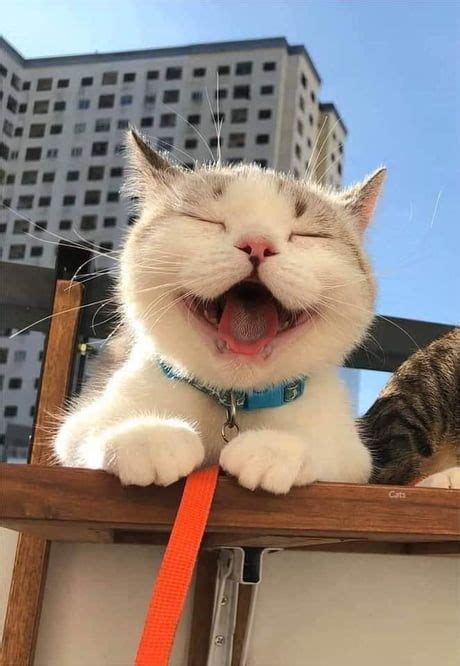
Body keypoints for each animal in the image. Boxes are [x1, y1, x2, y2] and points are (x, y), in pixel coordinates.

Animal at [54, 128, 384, 492]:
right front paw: (148, 438)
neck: (232, 403)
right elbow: (85, 433)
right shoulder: (81, 421)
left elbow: (333, 452)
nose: (258, 243)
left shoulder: (353, 454)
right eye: (207, 220)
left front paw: (275, 449)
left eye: (308, 234)